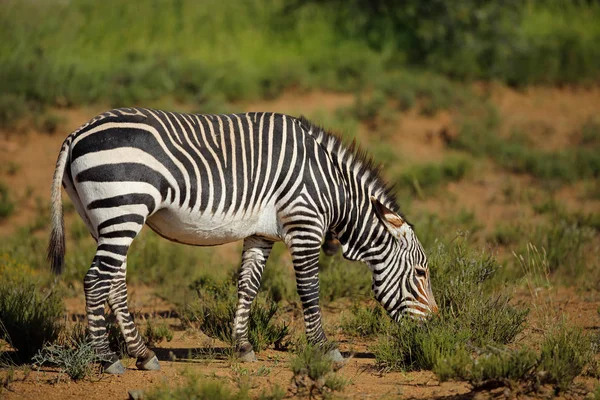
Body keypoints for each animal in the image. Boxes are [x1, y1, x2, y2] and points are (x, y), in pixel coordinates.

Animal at [48, 108, 436, 374]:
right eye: (421, 273)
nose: (434, 330)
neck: (332, 187)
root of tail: (78, 132)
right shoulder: (304, 224)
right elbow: (310, 289)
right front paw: (325, 349)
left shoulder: (260, 234)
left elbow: (248, 286)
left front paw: (243, 346)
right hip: (123, 209)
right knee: (95, 281)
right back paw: (107, 359)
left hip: (103, 219)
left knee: (113, 283)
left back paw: (143, 354)